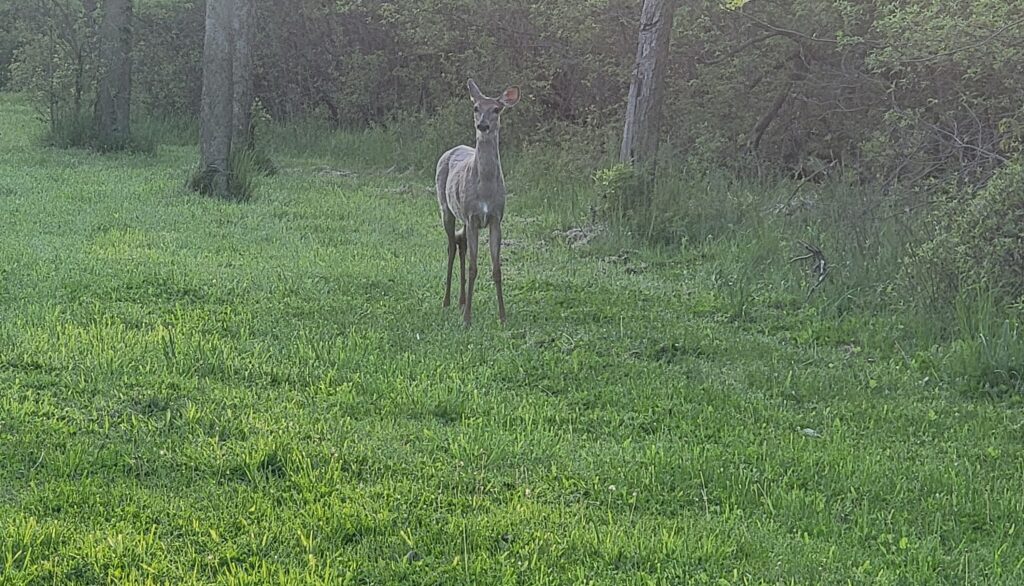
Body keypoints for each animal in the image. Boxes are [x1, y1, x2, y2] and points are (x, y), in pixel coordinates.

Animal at [436, 78, 524, 327]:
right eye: (476, 107)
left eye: (496, 109)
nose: (482, 126)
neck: (484, 188)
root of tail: (452, 149)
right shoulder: (473, 216)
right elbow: (474, 267)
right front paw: (467, 320)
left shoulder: (495, 218)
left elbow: (496, 269)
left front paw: (503, 317)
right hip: (446, 208)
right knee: (450, 246)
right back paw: (448, 301)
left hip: (464, 219)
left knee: (460, 242)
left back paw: (461, 301)